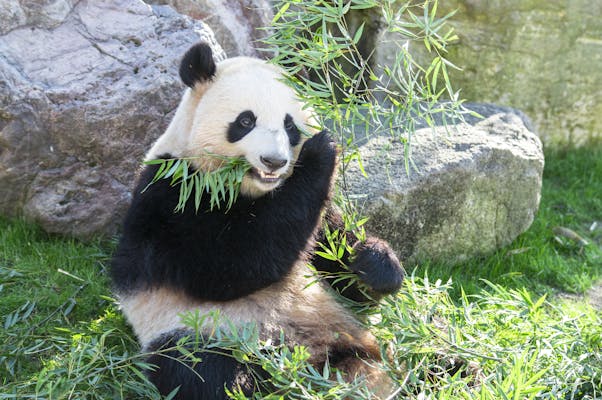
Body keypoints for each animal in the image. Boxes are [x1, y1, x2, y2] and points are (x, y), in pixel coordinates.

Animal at [112, 42, 404, 398]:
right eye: (245, 120)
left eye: (290, 125)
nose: (274, 161)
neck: (250, 191)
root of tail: (309, 363)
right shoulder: (171, 197)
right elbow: (229, 265)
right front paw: (320, 152)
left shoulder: (316, 218)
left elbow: (336, 257)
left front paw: (375, 264)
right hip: (200, 329)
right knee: (203, 371)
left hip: (348, 333)